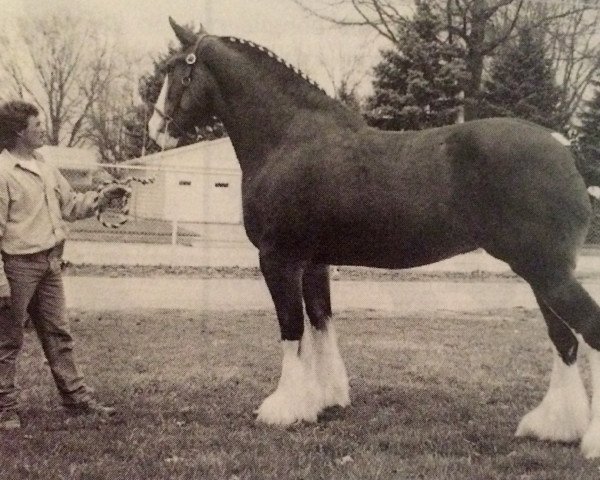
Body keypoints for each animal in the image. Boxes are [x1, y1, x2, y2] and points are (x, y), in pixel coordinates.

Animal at [150, 15, 600, 458]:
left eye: (174, 68)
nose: (156, 128)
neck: (289, 137)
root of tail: (564, 151)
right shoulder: (314, 264)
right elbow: (321, 323)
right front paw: (326, 399)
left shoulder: (279, 260)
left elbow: (292, 329)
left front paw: (284, 409)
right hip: (541, 273)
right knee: (563, 340)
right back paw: (552, 427)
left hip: (546, 272)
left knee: (587, 331)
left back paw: (588, 442)